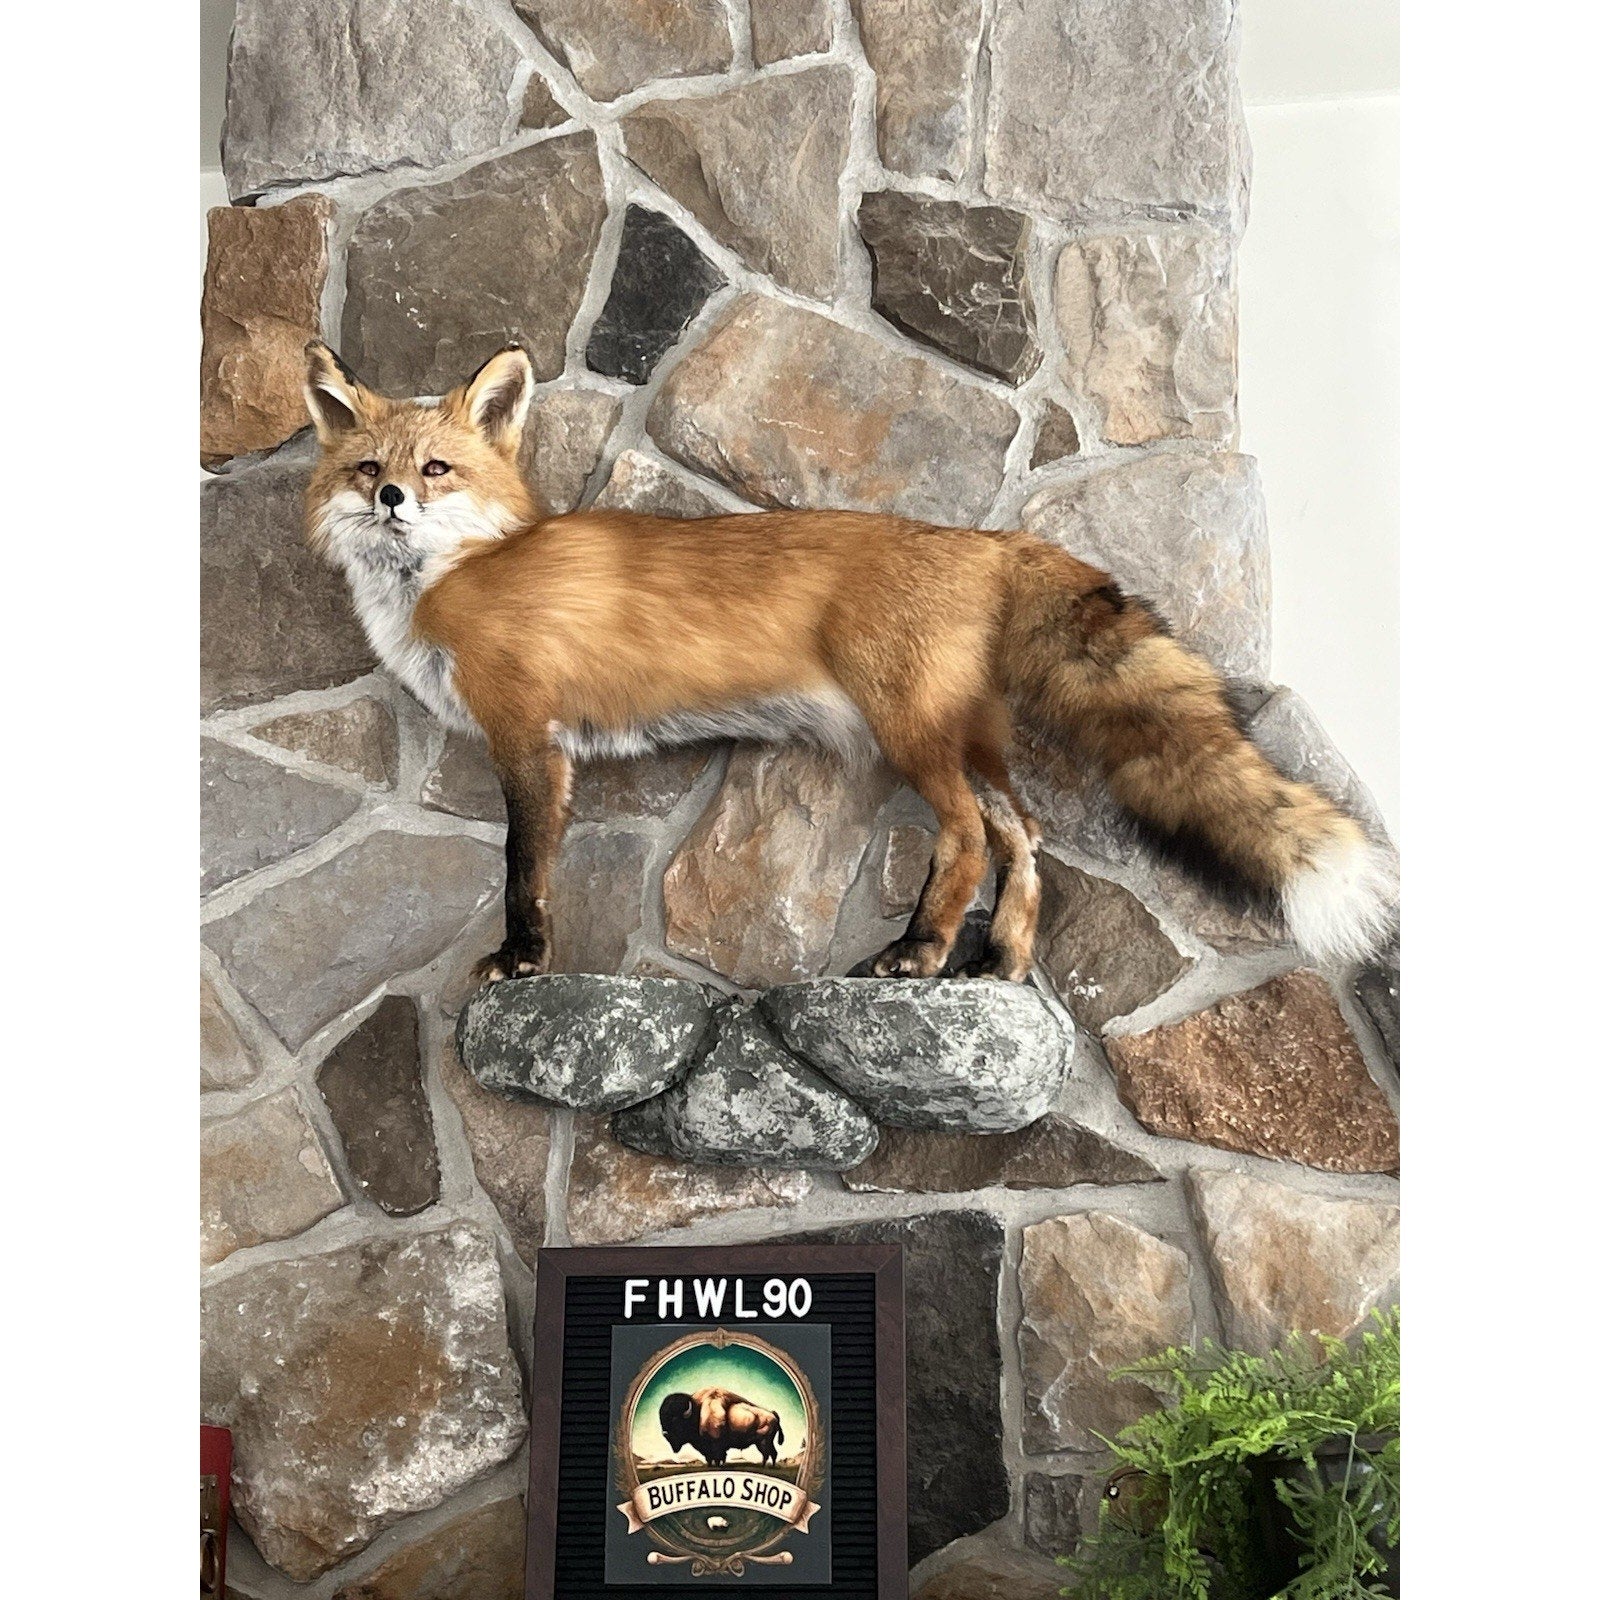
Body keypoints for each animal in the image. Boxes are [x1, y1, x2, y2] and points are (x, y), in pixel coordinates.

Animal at [301, 340, 1396, 987]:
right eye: (366, 467)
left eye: (436, 469)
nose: (390, 496)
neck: (459, 575)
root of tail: (986, 541)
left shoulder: (527, 737)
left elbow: (521, 868)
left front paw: (521, 960)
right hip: (965, 738)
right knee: (1024, 837)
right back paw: (999, 961)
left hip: (906, 729)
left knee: (967, 839)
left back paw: (920, 949)